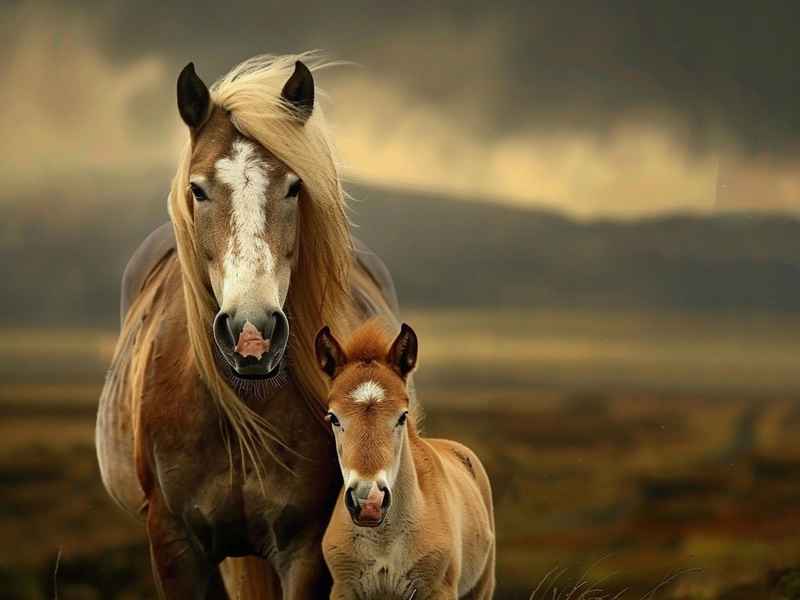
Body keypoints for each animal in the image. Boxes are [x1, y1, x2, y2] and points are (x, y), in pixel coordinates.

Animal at [314, 321, 495, 600]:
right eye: (333, 417)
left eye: (402, 416)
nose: (369, 502)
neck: (384, 541)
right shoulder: (344, 589)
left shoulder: (439, 590)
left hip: (482, 587)